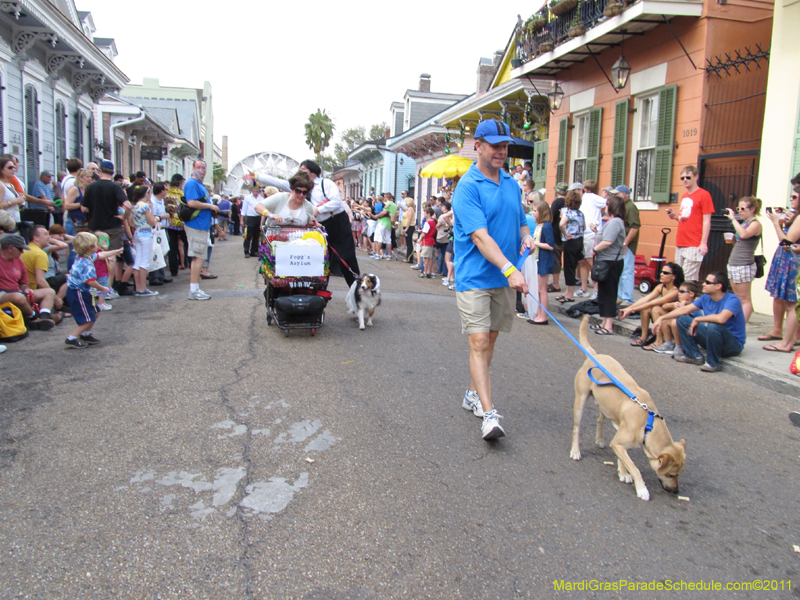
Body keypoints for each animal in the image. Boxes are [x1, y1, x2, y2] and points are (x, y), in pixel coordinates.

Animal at [568, 314, 688, 502]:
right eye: (671, 474)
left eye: (678, 474)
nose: (676, 491)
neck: (648, 423)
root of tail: (594, 356)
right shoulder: (619, 442)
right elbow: (635, 468)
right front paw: (642, 489)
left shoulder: (620, 442)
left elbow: (624, 459)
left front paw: (623, 473)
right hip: (581, 400)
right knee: (577, 428)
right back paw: (575, 451)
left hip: (607, 406)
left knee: (600, 418)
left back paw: (600, 439)